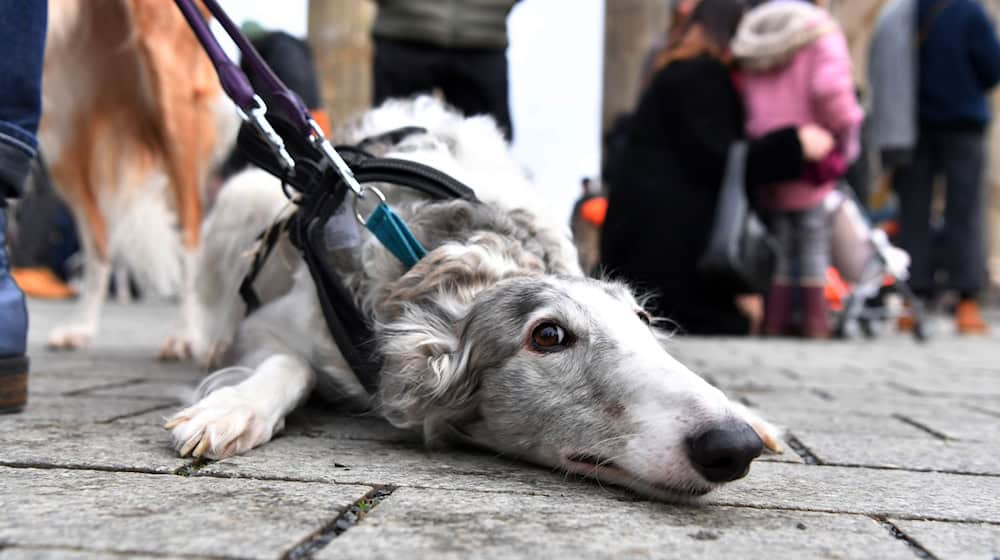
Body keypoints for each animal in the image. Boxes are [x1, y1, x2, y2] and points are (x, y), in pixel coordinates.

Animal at [168, 96, 784, 498]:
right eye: (548, 335)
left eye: (641, 320)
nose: (733, 445)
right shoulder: (273, 326)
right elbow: (286, 363)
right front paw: (229, 410)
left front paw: (757, 418)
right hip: (242, 205)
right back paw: (191, 339)